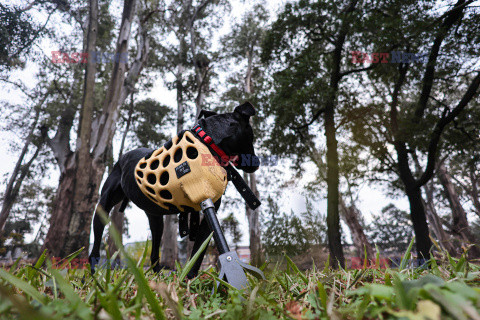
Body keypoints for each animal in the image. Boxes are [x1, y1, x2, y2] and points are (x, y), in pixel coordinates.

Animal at [87, 102, 256, 278]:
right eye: (251, 136)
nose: (256, 163)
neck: (207, 143)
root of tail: (123, 156)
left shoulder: (208, 212)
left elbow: (198, 253)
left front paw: (191, 279)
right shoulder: (205, 203)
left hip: (155, 219)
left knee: (154, 253)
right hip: (103, 208)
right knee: (95, 247)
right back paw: (93, 275)